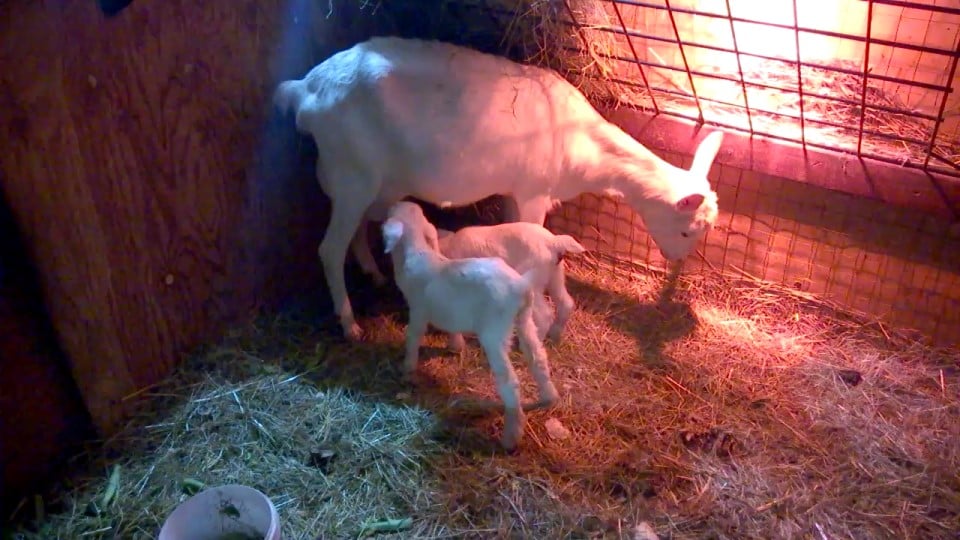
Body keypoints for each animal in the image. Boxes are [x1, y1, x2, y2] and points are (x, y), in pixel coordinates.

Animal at [380, 200, 560, 450]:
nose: (392, 203)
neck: (418, 253)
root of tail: (520, 286)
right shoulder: (449, 309)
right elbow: (452, 328)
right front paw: (455, 346)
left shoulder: (418, 309)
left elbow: (413, 337)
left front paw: (408, 369)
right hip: (524, 320)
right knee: (538, 358)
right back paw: (548, 397)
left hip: (495, 332)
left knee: (510, 382)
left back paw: (511, 436)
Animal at [436, 221, 584, 352]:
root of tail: (553, 241)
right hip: (556, 275)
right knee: (566, 303)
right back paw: (555, 335)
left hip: (532, 280)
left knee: (544, 315)